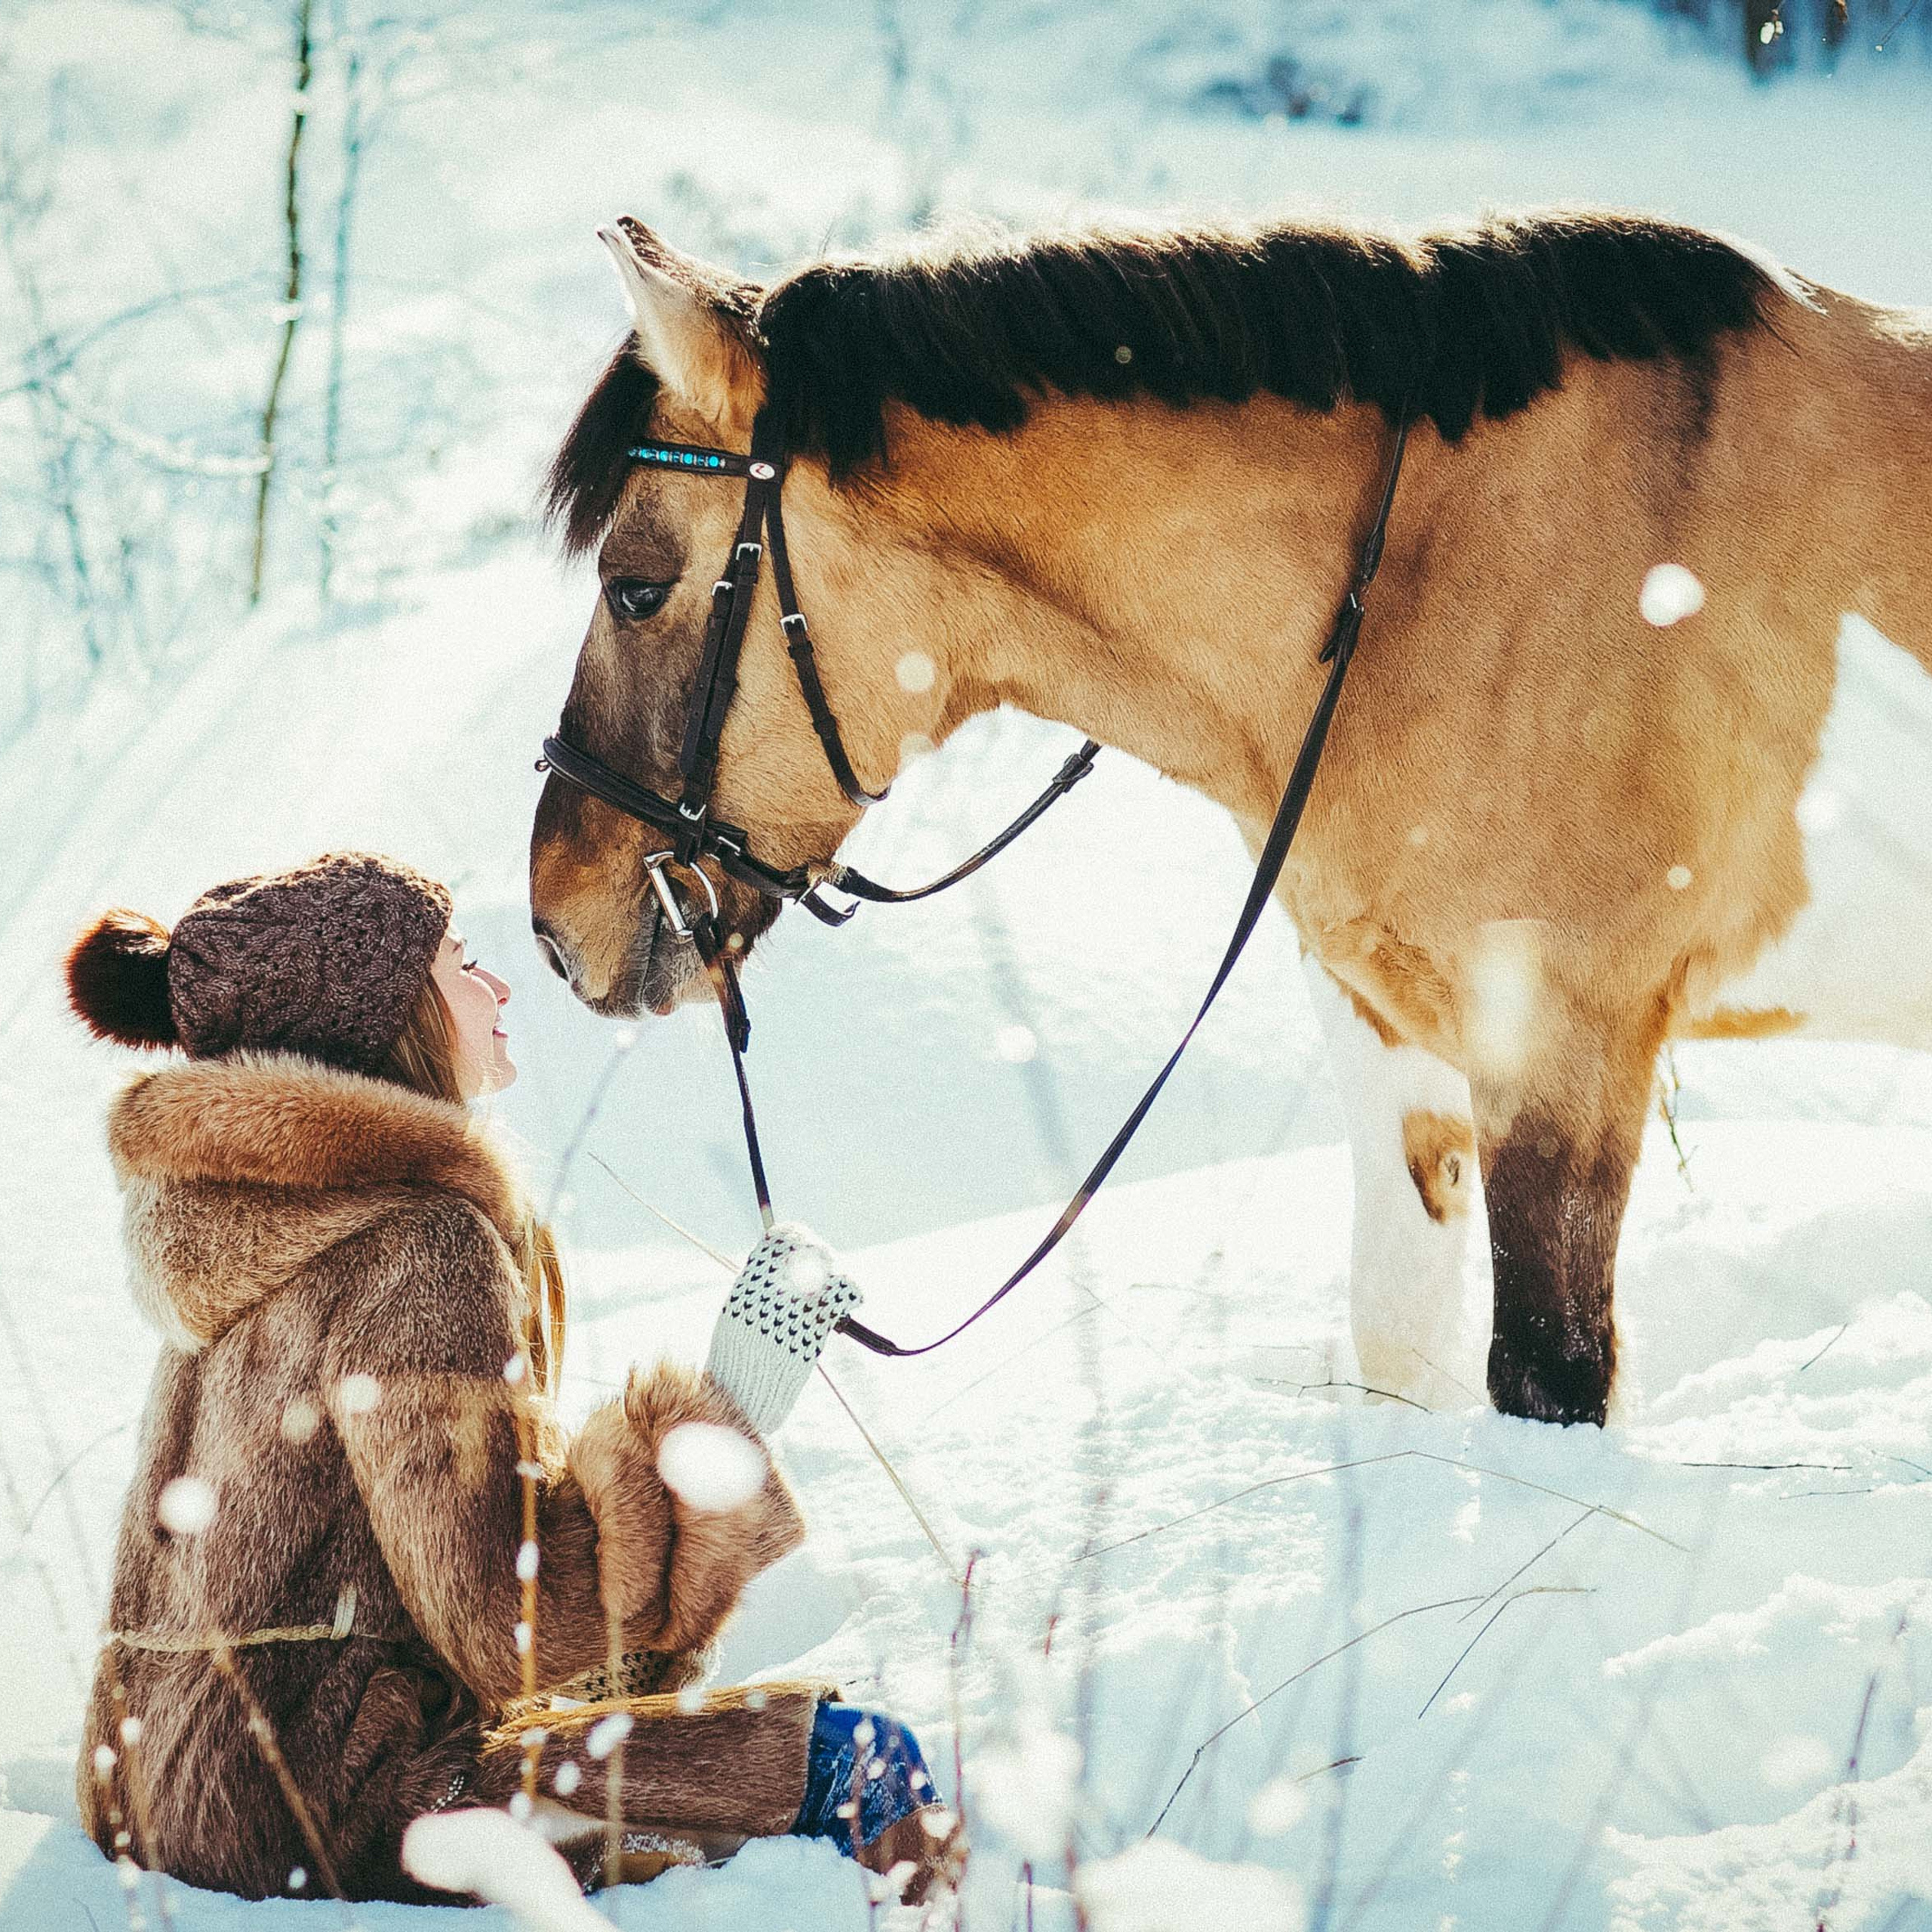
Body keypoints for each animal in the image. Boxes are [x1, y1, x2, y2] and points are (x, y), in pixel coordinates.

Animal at [529, 210, 1932, 1427]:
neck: (1444, 578)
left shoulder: (1564, 1051)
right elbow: (1398, 1348)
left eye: (637, 589)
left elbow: (1544, 1373)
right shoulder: (1390, 1034)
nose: (553, 922)